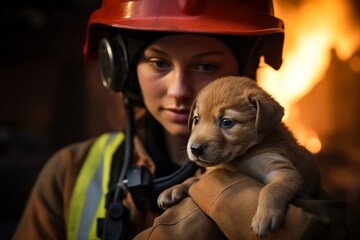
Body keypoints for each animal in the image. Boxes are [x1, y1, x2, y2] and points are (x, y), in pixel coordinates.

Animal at [159, 76, 322, 236]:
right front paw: (174, 189)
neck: (243, 155)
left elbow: (271, 190)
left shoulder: (282, 170)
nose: (195, 149)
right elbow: (194, 178)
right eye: (196, 119)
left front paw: (265, 215)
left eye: (226, 122)